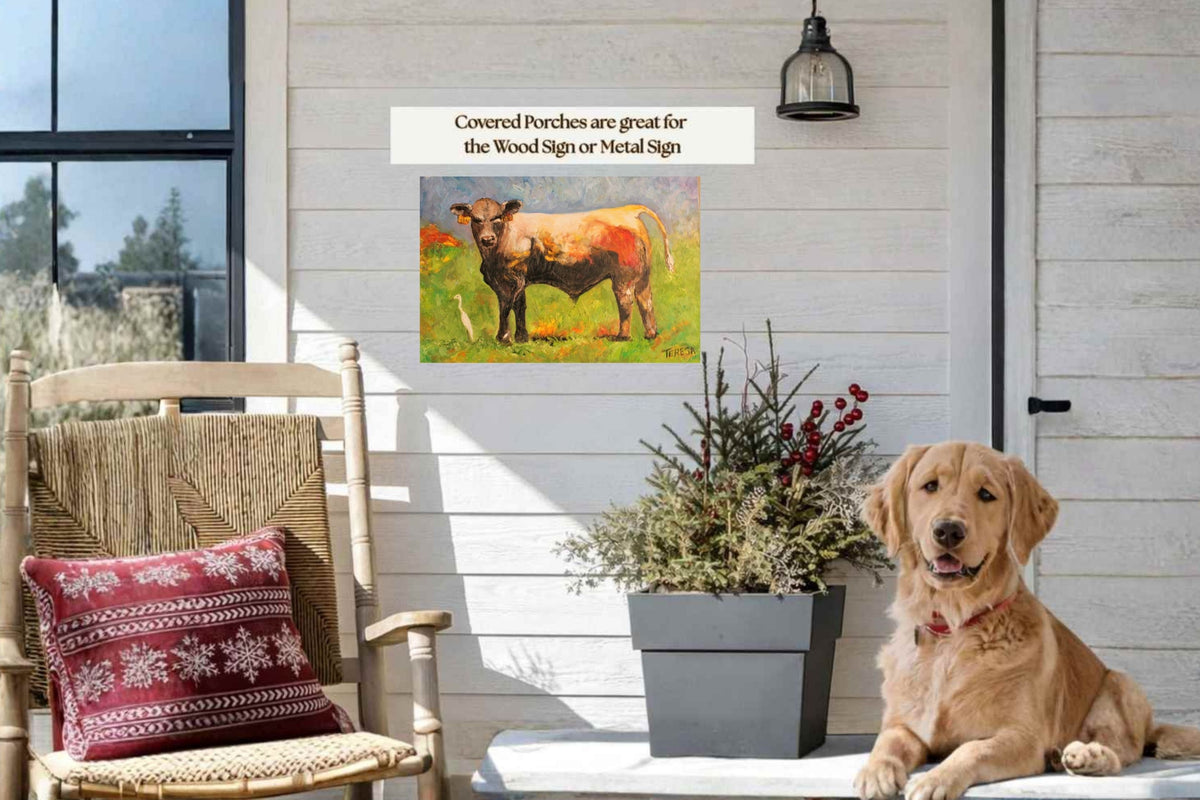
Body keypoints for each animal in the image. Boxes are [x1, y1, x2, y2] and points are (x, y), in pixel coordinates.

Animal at [448, 198, 675, 344]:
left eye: (497, 218)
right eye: (475, 219)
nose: (487, 239)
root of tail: (628, 211)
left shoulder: (510, 280)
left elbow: (505, 306)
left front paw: (503, 338)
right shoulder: (519, 279)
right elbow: (520, 306)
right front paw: (522, 338)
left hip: (624, 277)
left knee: (626, 302)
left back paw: (622, 337)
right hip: (642, 276)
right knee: (646, 301)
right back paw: (650, 334)